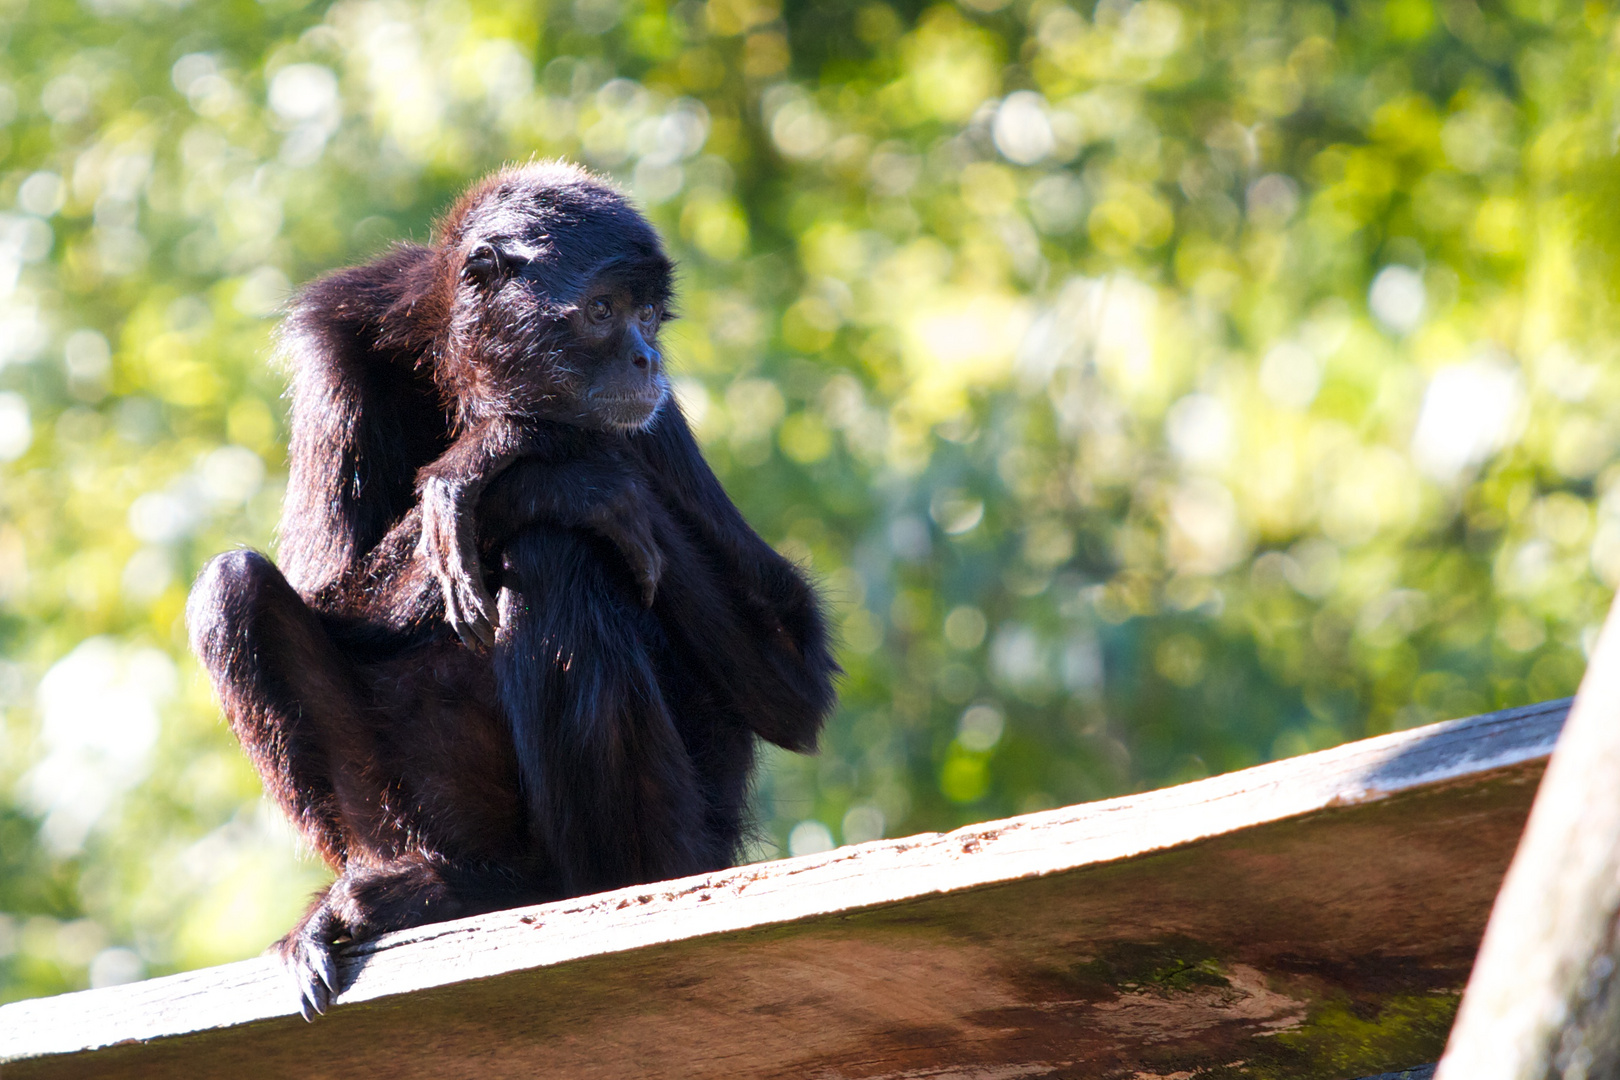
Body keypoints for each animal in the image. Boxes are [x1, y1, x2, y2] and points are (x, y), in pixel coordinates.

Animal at [189, 162, 842, 1023]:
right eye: (603, 311)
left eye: (647, 315)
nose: (647, 359)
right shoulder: (336, 348)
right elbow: (320, 588)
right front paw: (532, 457)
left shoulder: (653, 418)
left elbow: (793, 683)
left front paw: (501, 449)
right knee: (231, 587)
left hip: (685, 834)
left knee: (558, 554)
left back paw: (565, 887)